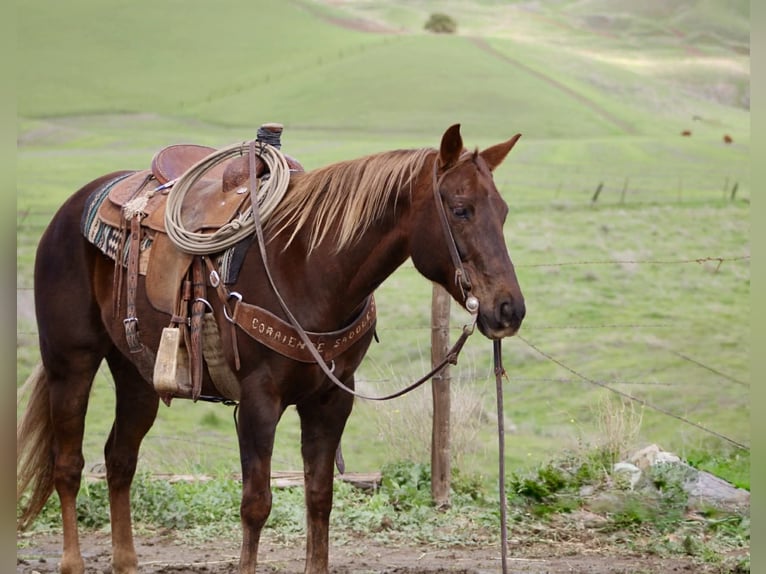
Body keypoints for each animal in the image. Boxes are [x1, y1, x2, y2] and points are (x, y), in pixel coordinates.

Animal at [17, 124, 525, 574]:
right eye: (460, 210)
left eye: (502, 212)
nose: (509, 309)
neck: (308, 266)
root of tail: (73, 207)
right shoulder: (259, 400)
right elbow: (256, 504)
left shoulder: (332, 399)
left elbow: (320, 498)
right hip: (71, 363)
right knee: (68, 465)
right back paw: (72, 563)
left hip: (138, 372)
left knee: (120, 460)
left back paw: (125, 563)